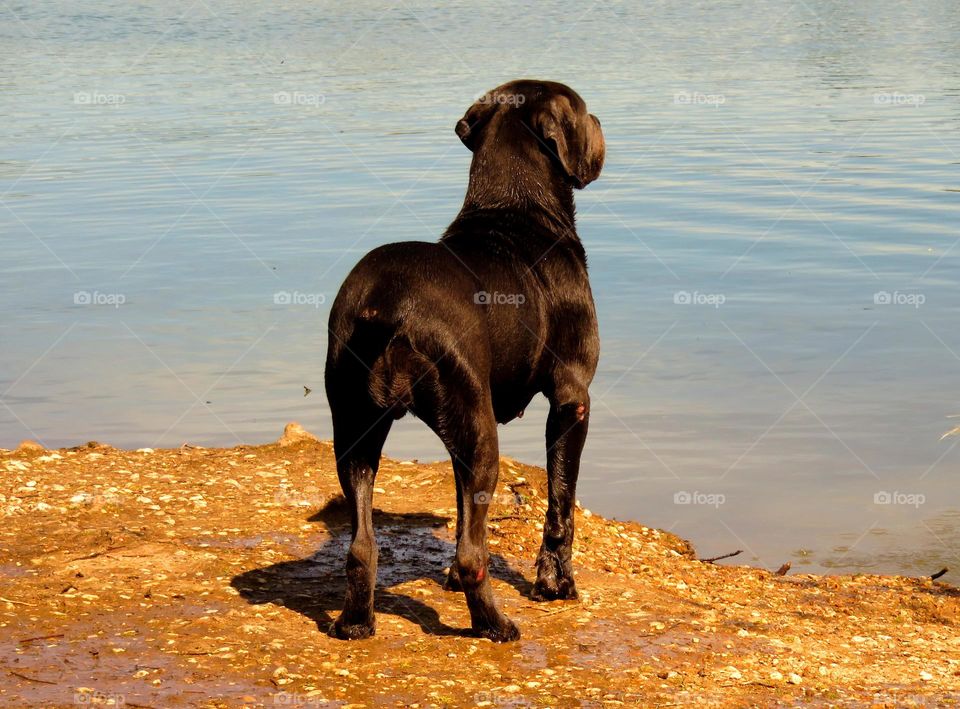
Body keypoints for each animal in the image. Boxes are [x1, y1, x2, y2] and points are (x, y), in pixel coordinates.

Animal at [326, 79, 604, 640]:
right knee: (475, 555)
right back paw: (495, 625)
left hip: (358, 431)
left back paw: (355, 623)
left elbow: (460, 510)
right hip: (481, 434)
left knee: (362, 547)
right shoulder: (572, 399)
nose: (603, 122)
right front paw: (555, 584)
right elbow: (560, 503)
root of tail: (385, 306)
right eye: (584, 111)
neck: (514, 207)